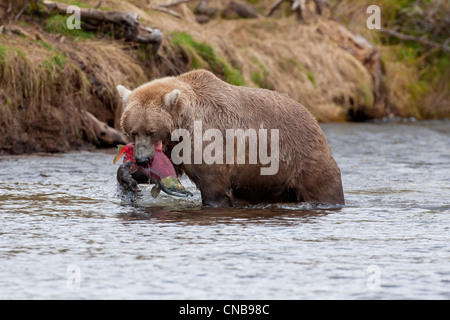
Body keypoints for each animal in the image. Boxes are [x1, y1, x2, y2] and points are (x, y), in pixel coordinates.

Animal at [116, 69, 344, 208]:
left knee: (324, 187)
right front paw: (128, 176)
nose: (142, 159)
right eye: (132, 131)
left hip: (303, 159)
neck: (183, 124)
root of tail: (313, 118)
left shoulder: (207, 140)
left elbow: (213, 186)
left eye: (151, 131)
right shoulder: (174, 147)